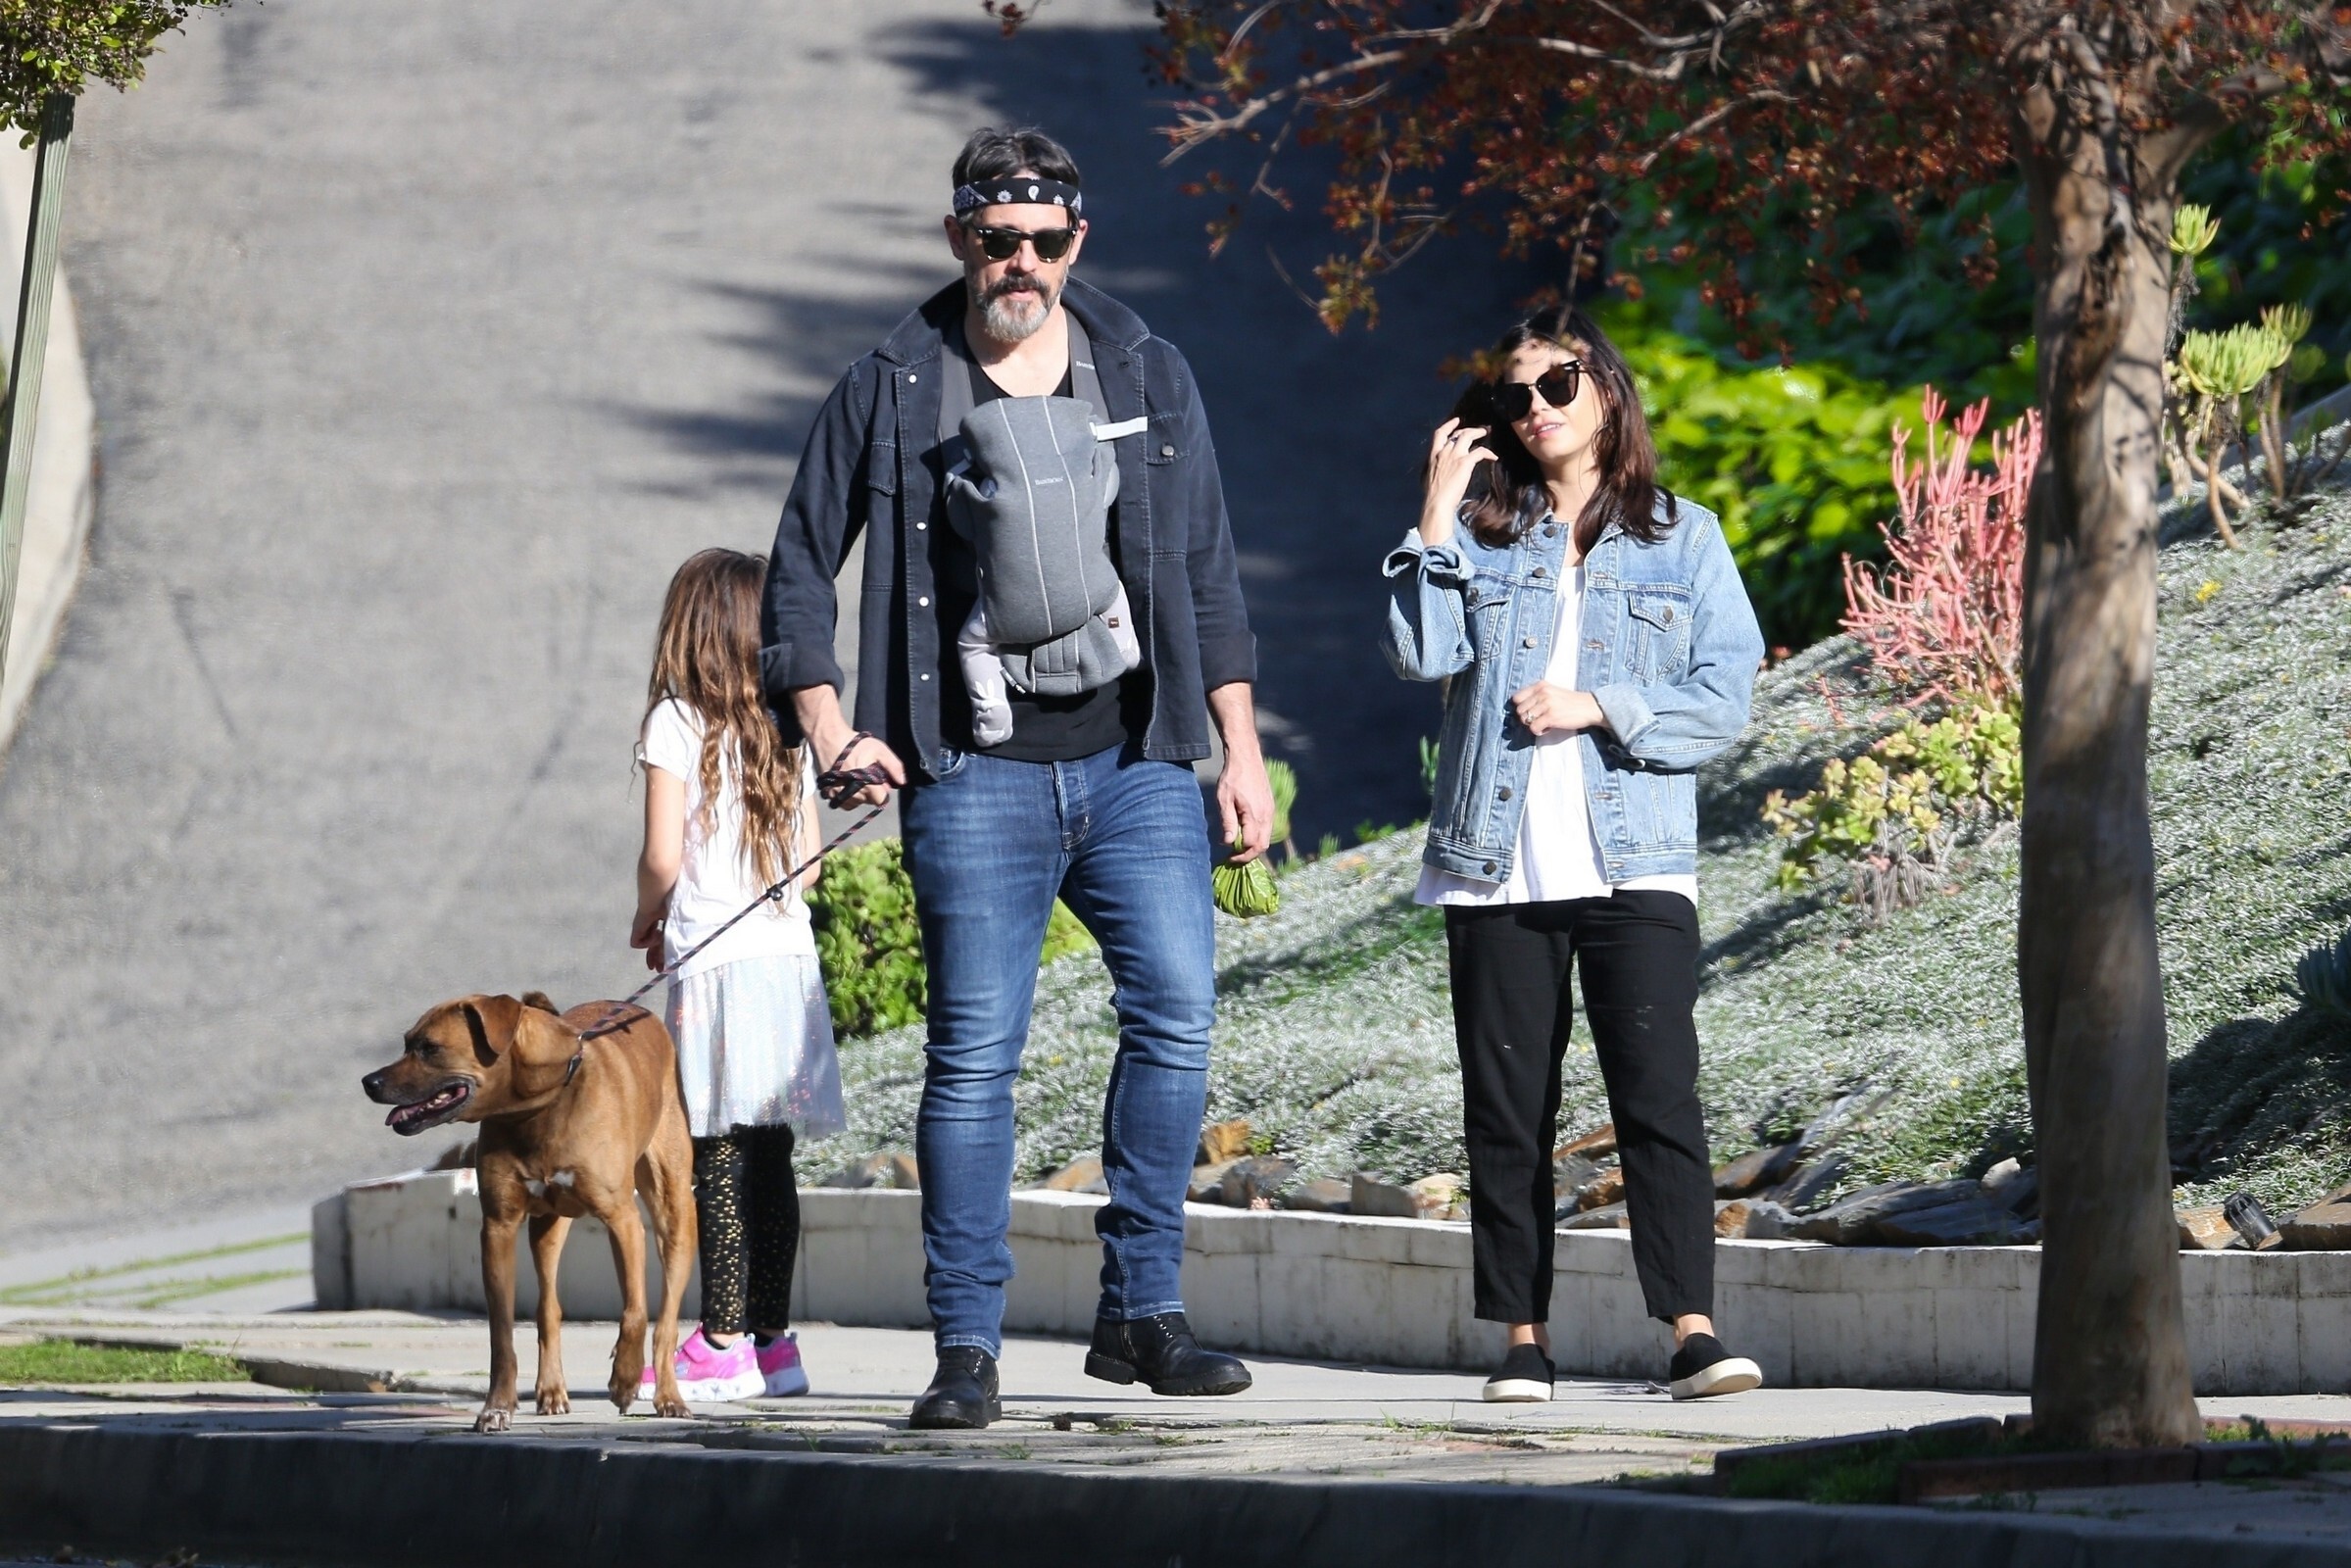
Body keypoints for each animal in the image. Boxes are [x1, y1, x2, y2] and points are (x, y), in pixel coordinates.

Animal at [362, 991, 696, 1432]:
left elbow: (636, 1311)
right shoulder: (498, 1227)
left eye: (429, 1048)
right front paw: (496, 1407)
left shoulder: (622, 1220)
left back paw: (668, 1396)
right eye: (406, 1043)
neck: (539, 1106)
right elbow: (501, 1334)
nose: (369, 1082)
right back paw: (552, 1390)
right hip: (547, 1227)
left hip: (673, 1208)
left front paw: (624, 1380)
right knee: (548, 1307)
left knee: (666, 1318)